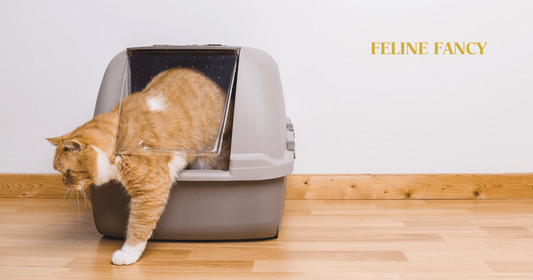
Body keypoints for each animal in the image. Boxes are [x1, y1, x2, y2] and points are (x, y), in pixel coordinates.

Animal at [47, 67, 233, 264]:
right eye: (60, 173)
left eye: (67, 172)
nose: (64, 183)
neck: (117, 140)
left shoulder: (150, 189)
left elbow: (139, 223)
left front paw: (128, 253)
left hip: (209, 158)